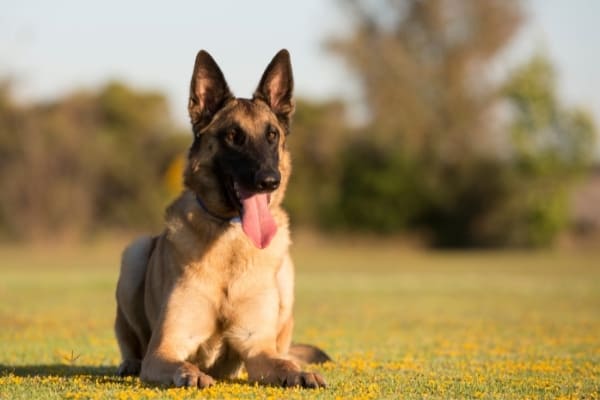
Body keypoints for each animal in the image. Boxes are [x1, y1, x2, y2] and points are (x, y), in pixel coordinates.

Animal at [113, 48, 328, 390]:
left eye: (272, 135)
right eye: (232, 136)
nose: (270, 180)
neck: (231, 242)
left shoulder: (258, 348)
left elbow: (282, 363)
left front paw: (300, 373)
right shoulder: (165, 348)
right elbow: (179, 364)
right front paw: (190, 374)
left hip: (286, 275)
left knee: (285, 349)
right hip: (134, 253)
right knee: (131, 343)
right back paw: (129, 363)